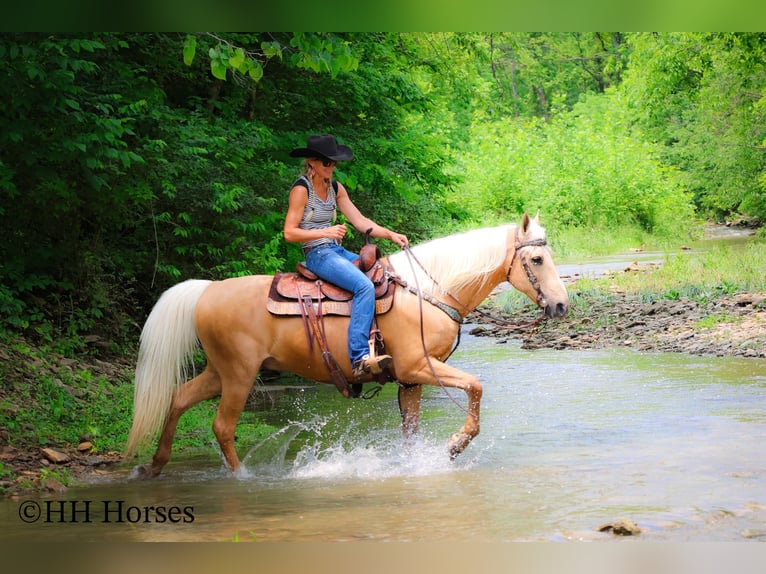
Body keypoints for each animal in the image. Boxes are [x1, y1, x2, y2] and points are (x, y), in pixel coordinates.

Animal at [124, 212, 569, 478]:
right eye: (538, 260)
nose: (562, 305)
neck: (427, 292)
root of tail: (207, 290)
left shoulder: (411, 381)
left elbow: (411, 430)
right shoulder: (417, 366)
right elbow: (476, 386)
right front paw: (456, 445)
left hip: (219, 370)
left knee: (178, 399)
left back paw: (155, 466)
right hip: (238, 374)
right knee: (222, 425)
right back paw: (242, 478)